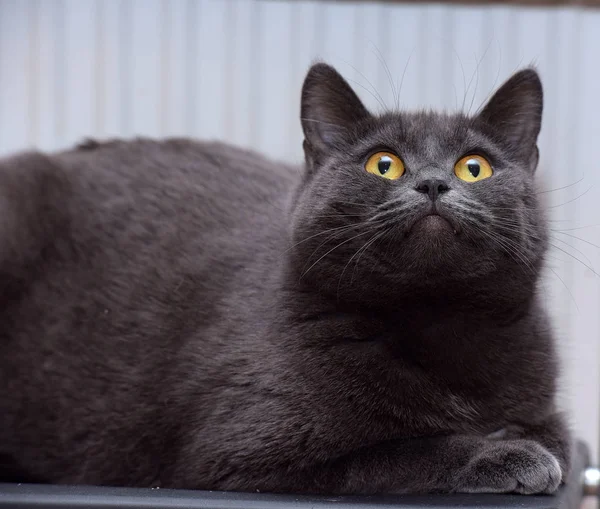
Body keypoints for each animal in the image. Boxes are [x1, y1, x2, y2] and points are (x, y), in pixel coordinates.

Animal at [0, 61, 572, 494]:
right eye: (383, 164)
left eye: (474, 167)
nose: (432, 183)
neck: (435, 322)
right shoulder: (241, 458)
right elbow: (402, 452)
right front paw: (505, 455)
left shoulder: (546, 406)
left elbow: (558, 439)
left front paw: (519, 443)